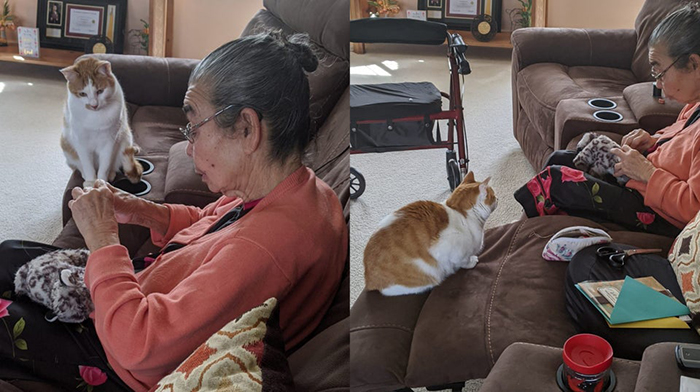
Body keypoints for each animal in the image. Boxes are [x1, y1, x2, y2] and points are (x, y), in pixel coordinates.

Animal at [360, 173, 498, 296]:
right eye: (493, 194)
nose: (498, 198)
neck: (460, 213)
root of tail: (368, 280)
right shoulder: (451, 251)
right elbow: (463, 262)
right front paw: (472, 261)